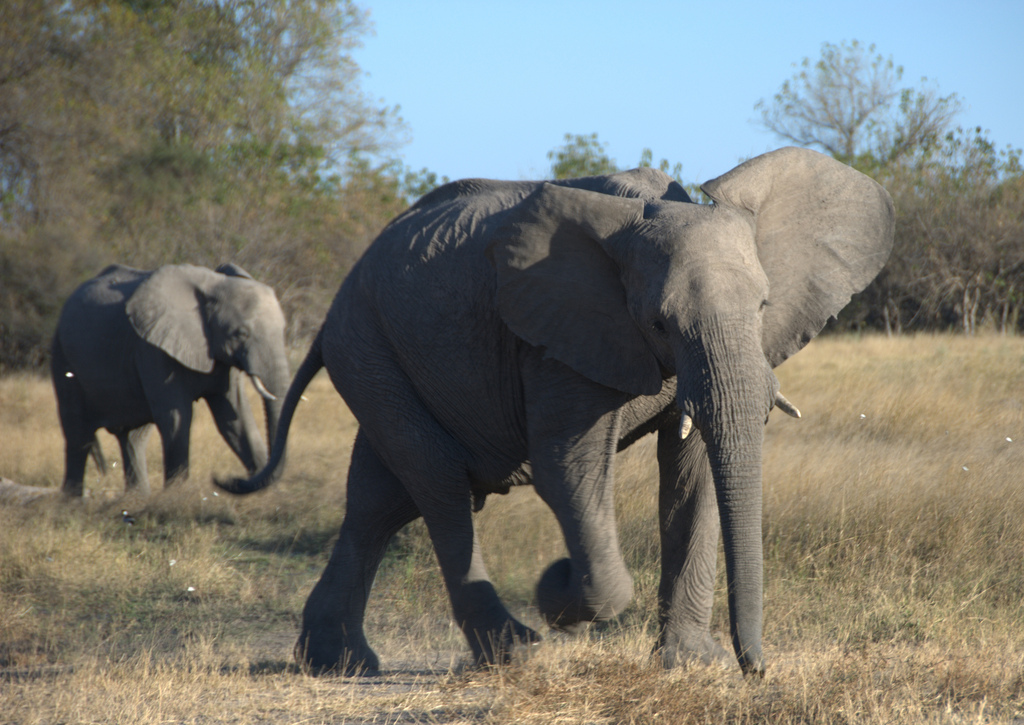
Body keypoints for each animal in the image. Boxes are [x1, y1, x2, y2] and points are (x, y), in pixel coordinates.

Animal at [54, 264, 290, 495]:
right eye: (240, 333)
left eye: (283, 329)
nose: (225, 479)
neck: (214, 284)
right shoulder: (153, 349)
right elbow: (176, 417)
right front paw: (177, 496)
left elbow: (235, 419)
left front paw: (266, 494)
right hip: (62, 356)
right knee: (77, 434)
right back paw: (73, 501)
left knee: (133, 438)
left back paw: (137, 497)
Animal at [220, 148, 892, 679]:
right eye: (658, 323)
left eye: (762, 307)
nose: (758, 669)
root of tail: (332, 310)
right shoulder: (554, 340)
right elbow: (566, 469)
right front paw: (557, 587)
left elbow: (694, 473)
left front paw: (690, 664)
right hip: (369, 348)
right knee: (438, 486)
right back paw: (514, 652)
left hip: (380, 358)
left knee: (379, 499)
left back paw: (338, 662)